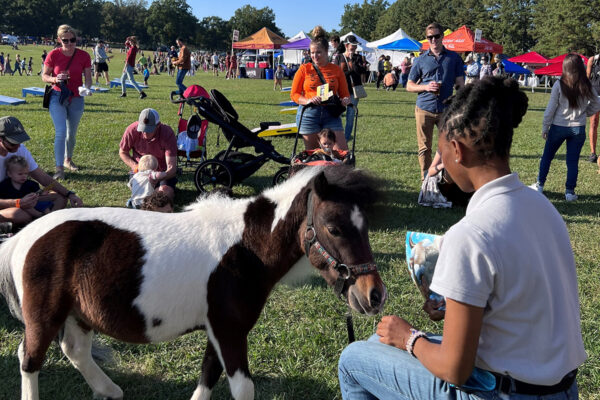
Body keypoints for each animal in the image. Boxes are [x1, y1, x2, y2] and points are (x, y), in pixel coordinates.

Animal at [0, 166, 386, 400]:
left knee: (75, 351)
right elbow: (242, 388)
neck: (245, 247)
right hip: (45, 316)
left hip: (78, 314)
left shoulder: (219, 330)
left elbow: (207, 378)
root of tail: (21, 237)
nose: (374, 295)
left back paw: (110, 390)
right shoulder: (229, 331)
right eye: (333, 227)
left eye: (365, 226)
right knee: (29, 359)